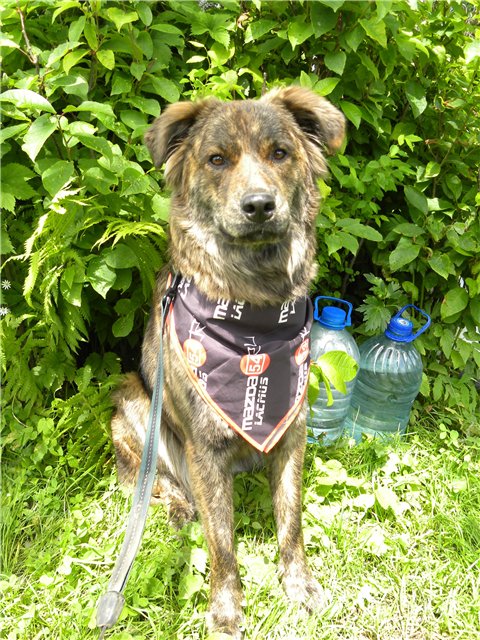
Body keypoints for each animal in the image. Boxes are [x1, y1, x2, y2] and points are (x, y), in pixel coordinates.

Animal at [111, 86, 345, 638]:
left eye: (279, 153)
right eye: (217, 160)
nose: (259, 205)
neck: (254, 308)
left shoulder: (292, 431)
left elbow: (291, 523)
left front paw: (298, 585)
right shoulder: (205, 449)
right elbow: (222, 543)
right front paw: (225, 610)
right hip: (131, 402)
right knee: (155, 482)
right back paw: (178, 507)